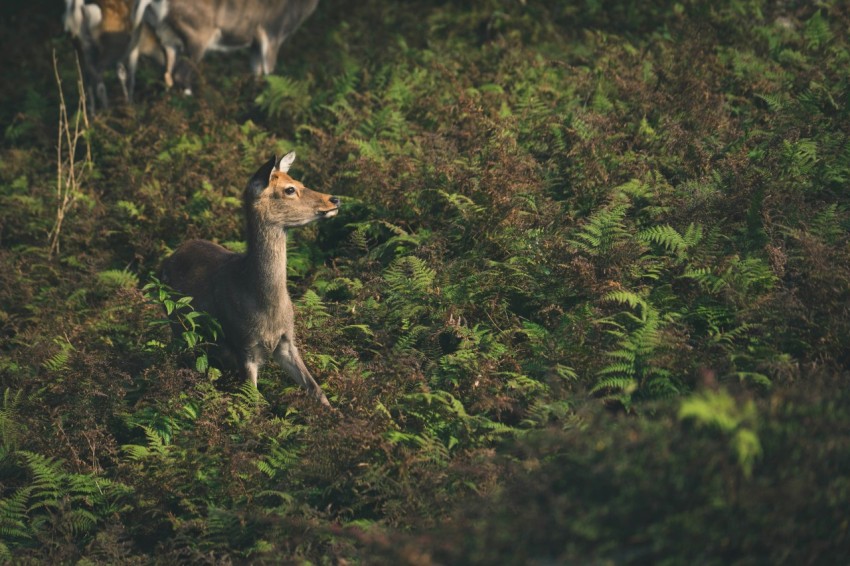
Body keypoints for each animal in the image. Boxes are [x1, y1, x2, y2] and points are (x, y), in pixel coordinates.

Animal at [129, 0, 318, 95]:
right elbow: (269, 75)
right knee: (180, 74)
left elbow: (256, 74)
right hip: (198, 33)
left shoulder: (255, 43)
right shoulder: (271, 32)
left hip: (166, 35)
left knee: (167, 74)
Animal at [161, 153, 338, 406]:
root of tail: (168, 258)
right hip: (177, 327)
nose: (334, 199)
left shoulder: (287, 341)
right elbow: (252, 404)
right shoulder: (244, 346)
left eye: (299, 182)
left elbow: (317, 390)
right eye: (289, 189)